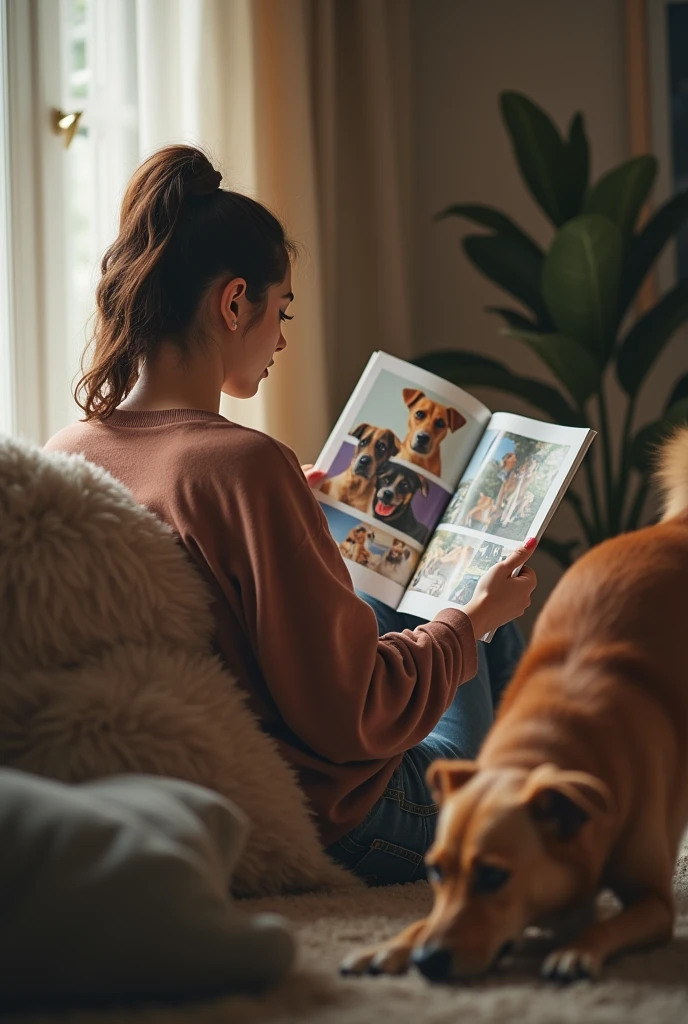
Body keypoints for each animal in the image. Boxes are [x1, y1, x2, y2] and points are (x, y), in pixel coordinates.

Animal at [344, 425, 688, 983]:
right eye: (435, 871)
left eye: (493, 877)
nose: (426, 963)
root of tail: (676, 527)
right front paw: (395, 941)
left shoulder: (656, 902)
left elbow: (612, 924)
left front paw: (577, 949)